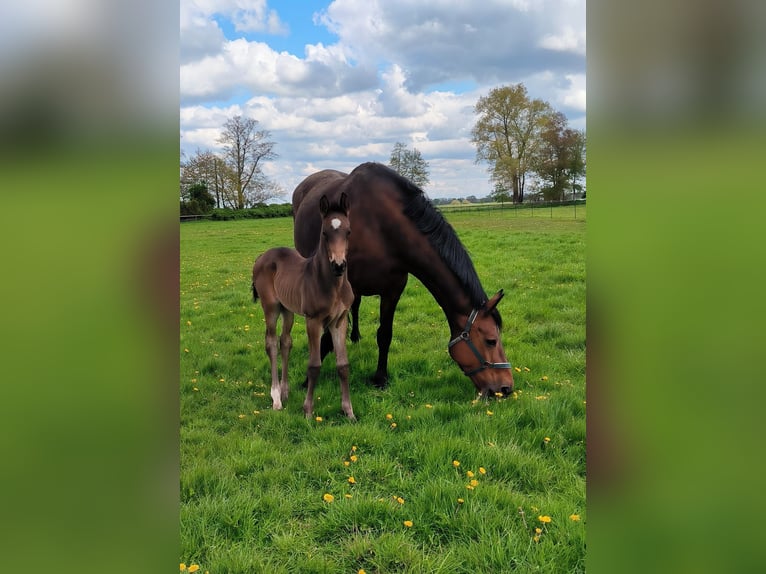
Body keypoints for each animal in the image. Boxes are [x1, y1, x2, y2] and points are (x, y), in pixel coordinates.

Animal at [254, 196, 358, 420]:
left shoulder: (339, 321)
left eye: (348, 231)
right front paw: (308, 411)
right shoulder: (313, 321)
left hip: (288, 310)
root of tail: (262, 256)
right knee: (271, 343)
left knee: (285, 342)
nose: (339, 265)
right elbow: (314, 365)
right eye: (325, 233)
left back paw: (285, 392)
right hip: (271, 307)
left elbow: (343, 365)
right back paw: (276, 398)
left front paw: (349, 412)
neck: (333, 285)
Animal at [294, 160, 516, 398]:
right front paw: (307, 380)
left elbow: (384, 334)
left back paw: (354, 337)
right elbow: (326, 337)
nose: (506, 388)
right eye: (491, 341)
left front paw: (380, 378)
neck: (379, 225)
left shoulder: (393, 290)